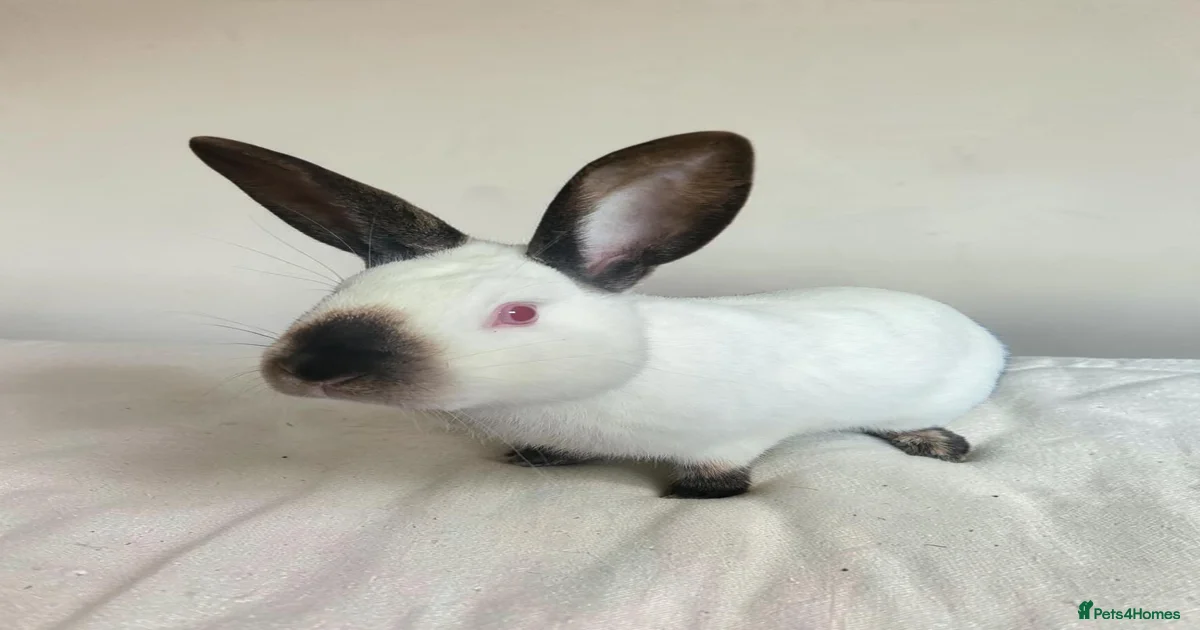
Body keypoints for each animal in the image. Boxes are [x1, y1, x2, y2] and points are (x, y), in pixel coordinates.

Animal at [188, 130, 1008, 499]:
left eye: (518, 314)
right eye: (337, 293)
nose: (312, 368)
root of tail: (988, 337)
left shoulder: (733, 437)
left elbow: (720, 474)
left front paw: (688, 494)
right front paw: (539, 459)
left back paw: (935, 442)